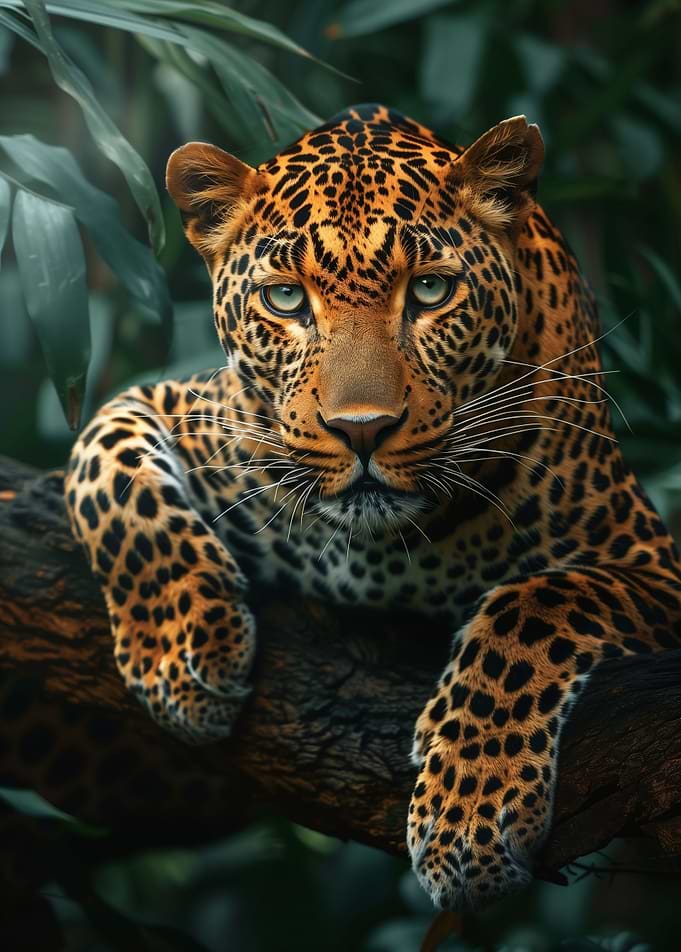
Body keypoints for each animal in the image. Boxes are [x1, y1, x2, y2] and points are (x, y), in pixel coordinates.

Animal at [64, 104, 681, 911]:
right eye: (285, 299)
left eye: (429, 291)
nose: (362, 429)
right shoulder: (176, 404)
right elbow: (108, 472)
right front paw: (182, 652)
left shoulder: (650, 563)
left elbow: (535, 605)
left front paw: (470, 816)